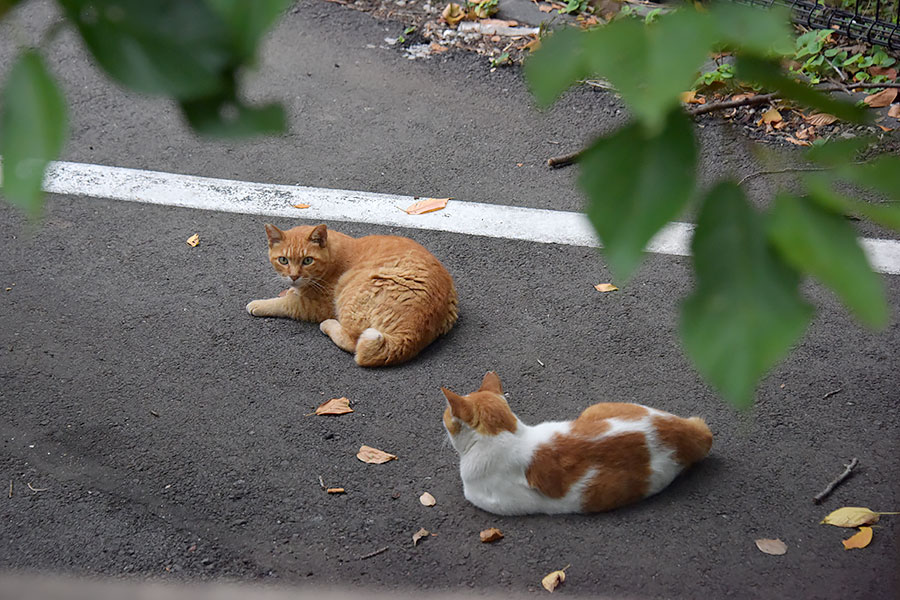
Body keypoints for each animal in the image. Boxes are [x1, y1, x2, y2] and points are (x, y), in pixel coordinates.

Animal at [246, 224, 458, 368]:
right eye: (283, 260)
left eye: (307, 260)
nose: (294, 276)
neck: (333, 256)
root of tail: (410, 335)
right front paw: (292, 288)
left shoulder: (315, 306)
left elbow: (284, 303)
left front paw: (259, 304)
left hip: (350, 295)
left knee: (352, 342)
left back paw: (329, 325)